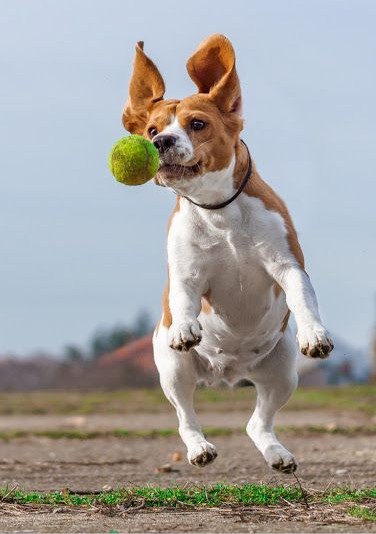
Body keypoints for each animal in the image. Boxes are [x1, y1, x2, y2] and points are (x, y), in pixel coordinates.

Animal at [122, 35, 332, 476]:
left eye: (197, 124)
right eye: (152, 129)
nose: (160, 142)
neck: (218, 210)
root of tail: (227, 374)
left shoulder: (287, 264)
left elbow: (302, 296)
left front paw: (314, 333)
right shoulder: (186, 273)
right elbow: (184, 296)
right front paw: (187, 325)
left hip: (282, 371)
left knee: (258, 422)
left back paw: (277, 454)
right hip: (174, 371)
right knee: (185, 417)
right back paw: (199, 448)